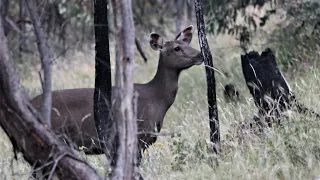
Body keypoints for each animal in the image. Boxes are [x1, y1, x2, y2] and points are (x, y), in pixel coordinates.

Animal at [31, 25, 204, 163]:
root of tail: (32, 103)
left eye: (187, 43)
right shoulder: (136, 137)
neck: (156, 99)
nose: (200, 55)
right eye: (176, 48)